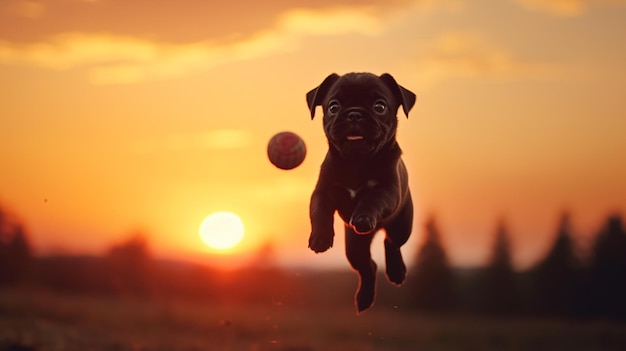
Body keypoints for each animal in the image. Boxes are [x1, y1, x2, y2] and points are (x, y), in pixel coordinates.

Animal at [306, 73, 414, 314]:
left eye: (380, 106)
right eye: (333, 106)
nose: (354, 113)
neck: (356, 162)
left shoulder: (388, 190)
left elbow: (371, 199)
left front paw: (363, 216)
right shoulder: (322, 191)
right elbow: (319, 211)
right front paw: (320, 237)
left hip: (402, 225)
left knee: (392, 242)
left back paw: (396, 271)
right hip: (355, 246)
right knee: (368, 266)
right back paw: (364, 299)